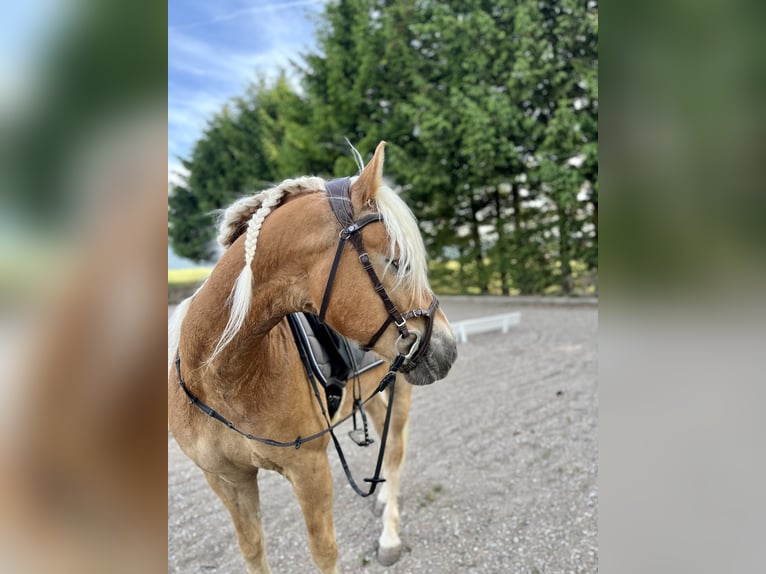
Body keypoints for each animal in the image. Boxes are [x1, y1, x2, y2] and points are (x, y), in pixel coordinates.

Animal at [168, 142, 458, 573]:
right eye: (397, 261)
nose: (448, 348)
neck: (222, 378)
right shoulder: (227, 479)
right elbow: (253, 548)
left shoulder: (310, 469)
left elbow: (323, 550)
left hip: (400, 395)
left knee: (395, 453)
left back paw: (389, 536)